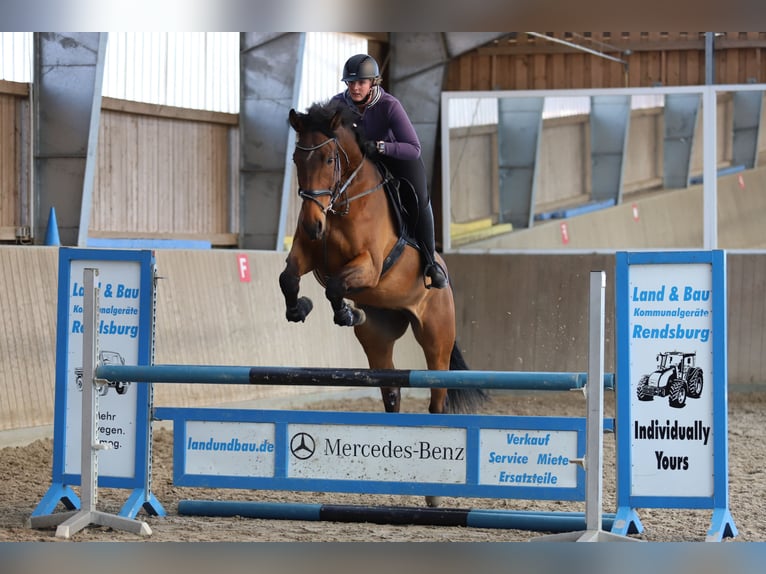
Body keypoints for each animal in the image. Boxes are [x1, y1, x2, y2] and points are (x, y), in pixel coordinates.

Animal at [280, 100, 488, 418]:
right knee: (391, 391)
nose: (312, 225)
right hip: (378, 338)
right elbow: (288, 278)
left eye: (329, 160)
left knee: (438, 395)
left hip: (436, 337)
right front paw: (299, 308)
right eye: (296, 159)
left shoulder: (371, 265)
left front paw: (346, 313)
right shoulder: (307, 253)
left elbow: (335, 287)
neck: (344, 202)